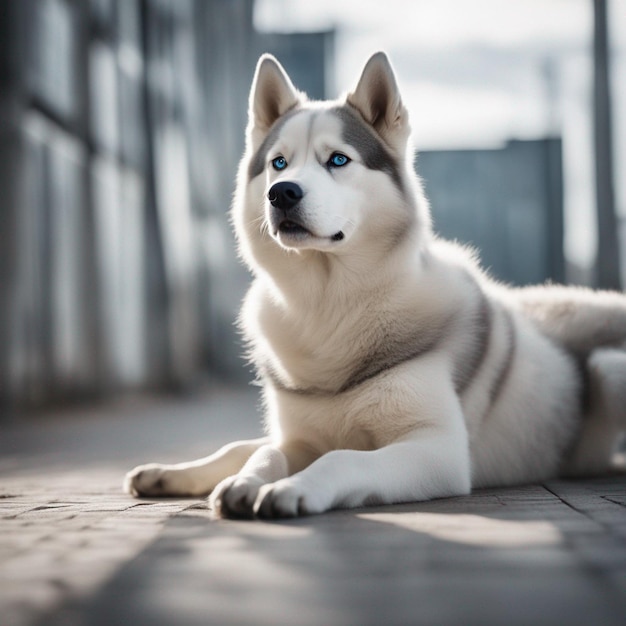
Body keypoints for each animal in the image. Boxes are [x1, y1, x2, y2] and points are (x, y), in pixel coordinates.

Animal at [125, 53, 624, 516]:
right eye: (278, 163)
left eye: (338, 160)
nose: (281, 192)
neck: (328, 303)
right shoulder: (299, 437)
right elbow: (264, 452)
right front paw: (241, 481)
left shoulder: (437, 450)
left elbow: (341, 458)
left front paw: (294, 489)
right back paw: (165, 474)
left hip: (607, 367)